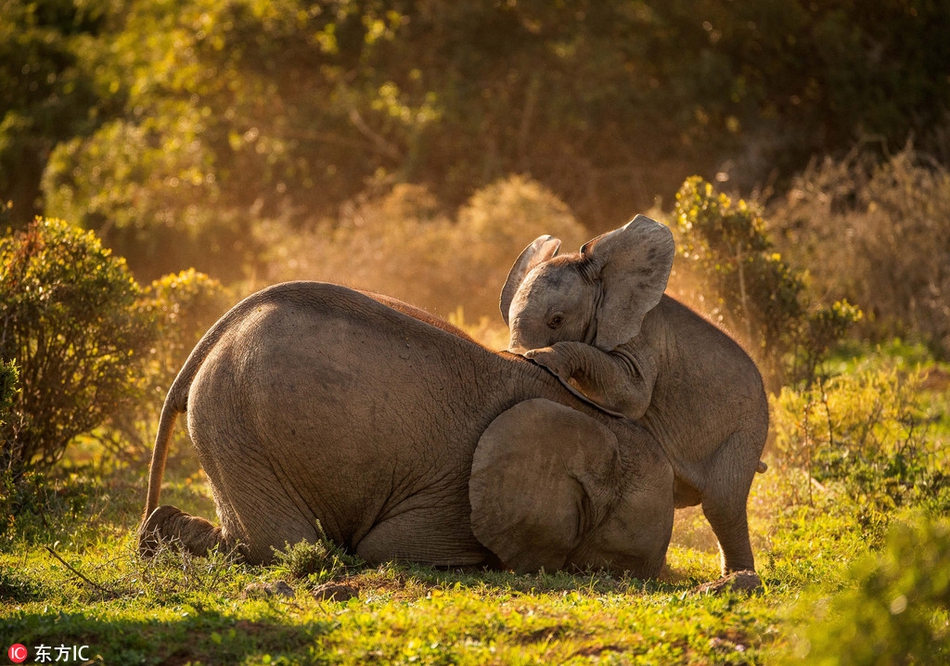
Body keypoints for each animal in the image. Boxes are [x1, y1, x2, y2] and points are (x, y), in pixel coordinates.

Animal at [138, 281, 675, 578]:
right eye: (621, 563)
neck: (589, 418)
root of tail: (214, 336)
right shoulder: (454, 496)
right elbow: (386, 549)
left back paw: (153, 538)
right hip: (236, 423)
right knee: (281, 546)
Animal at [500, 215, 769, 576]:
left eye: (556, 320)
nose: (514, 354)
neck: (605, 281)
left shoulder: (643, 337)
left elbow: (631, 395)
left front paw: (544, 359)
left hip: (747, 429)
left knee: (722, 504)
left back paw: (737, 578)